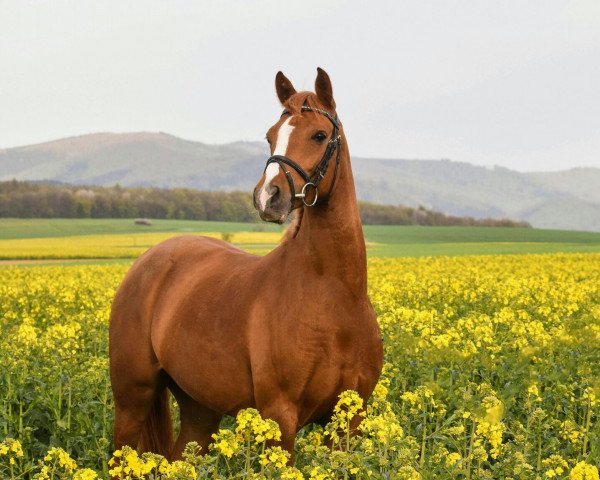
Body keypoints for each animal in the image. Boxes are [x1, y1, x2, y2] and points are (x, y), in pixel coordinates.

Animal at [109, 67, 384, 458]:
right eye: (271, 136)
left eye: (319, 135)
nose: (268, 196)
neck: (333, 296)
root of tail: (148, 260)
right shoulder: (280, 416)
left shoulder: (348, 422)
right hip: (132, 399)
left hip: (199, 409)